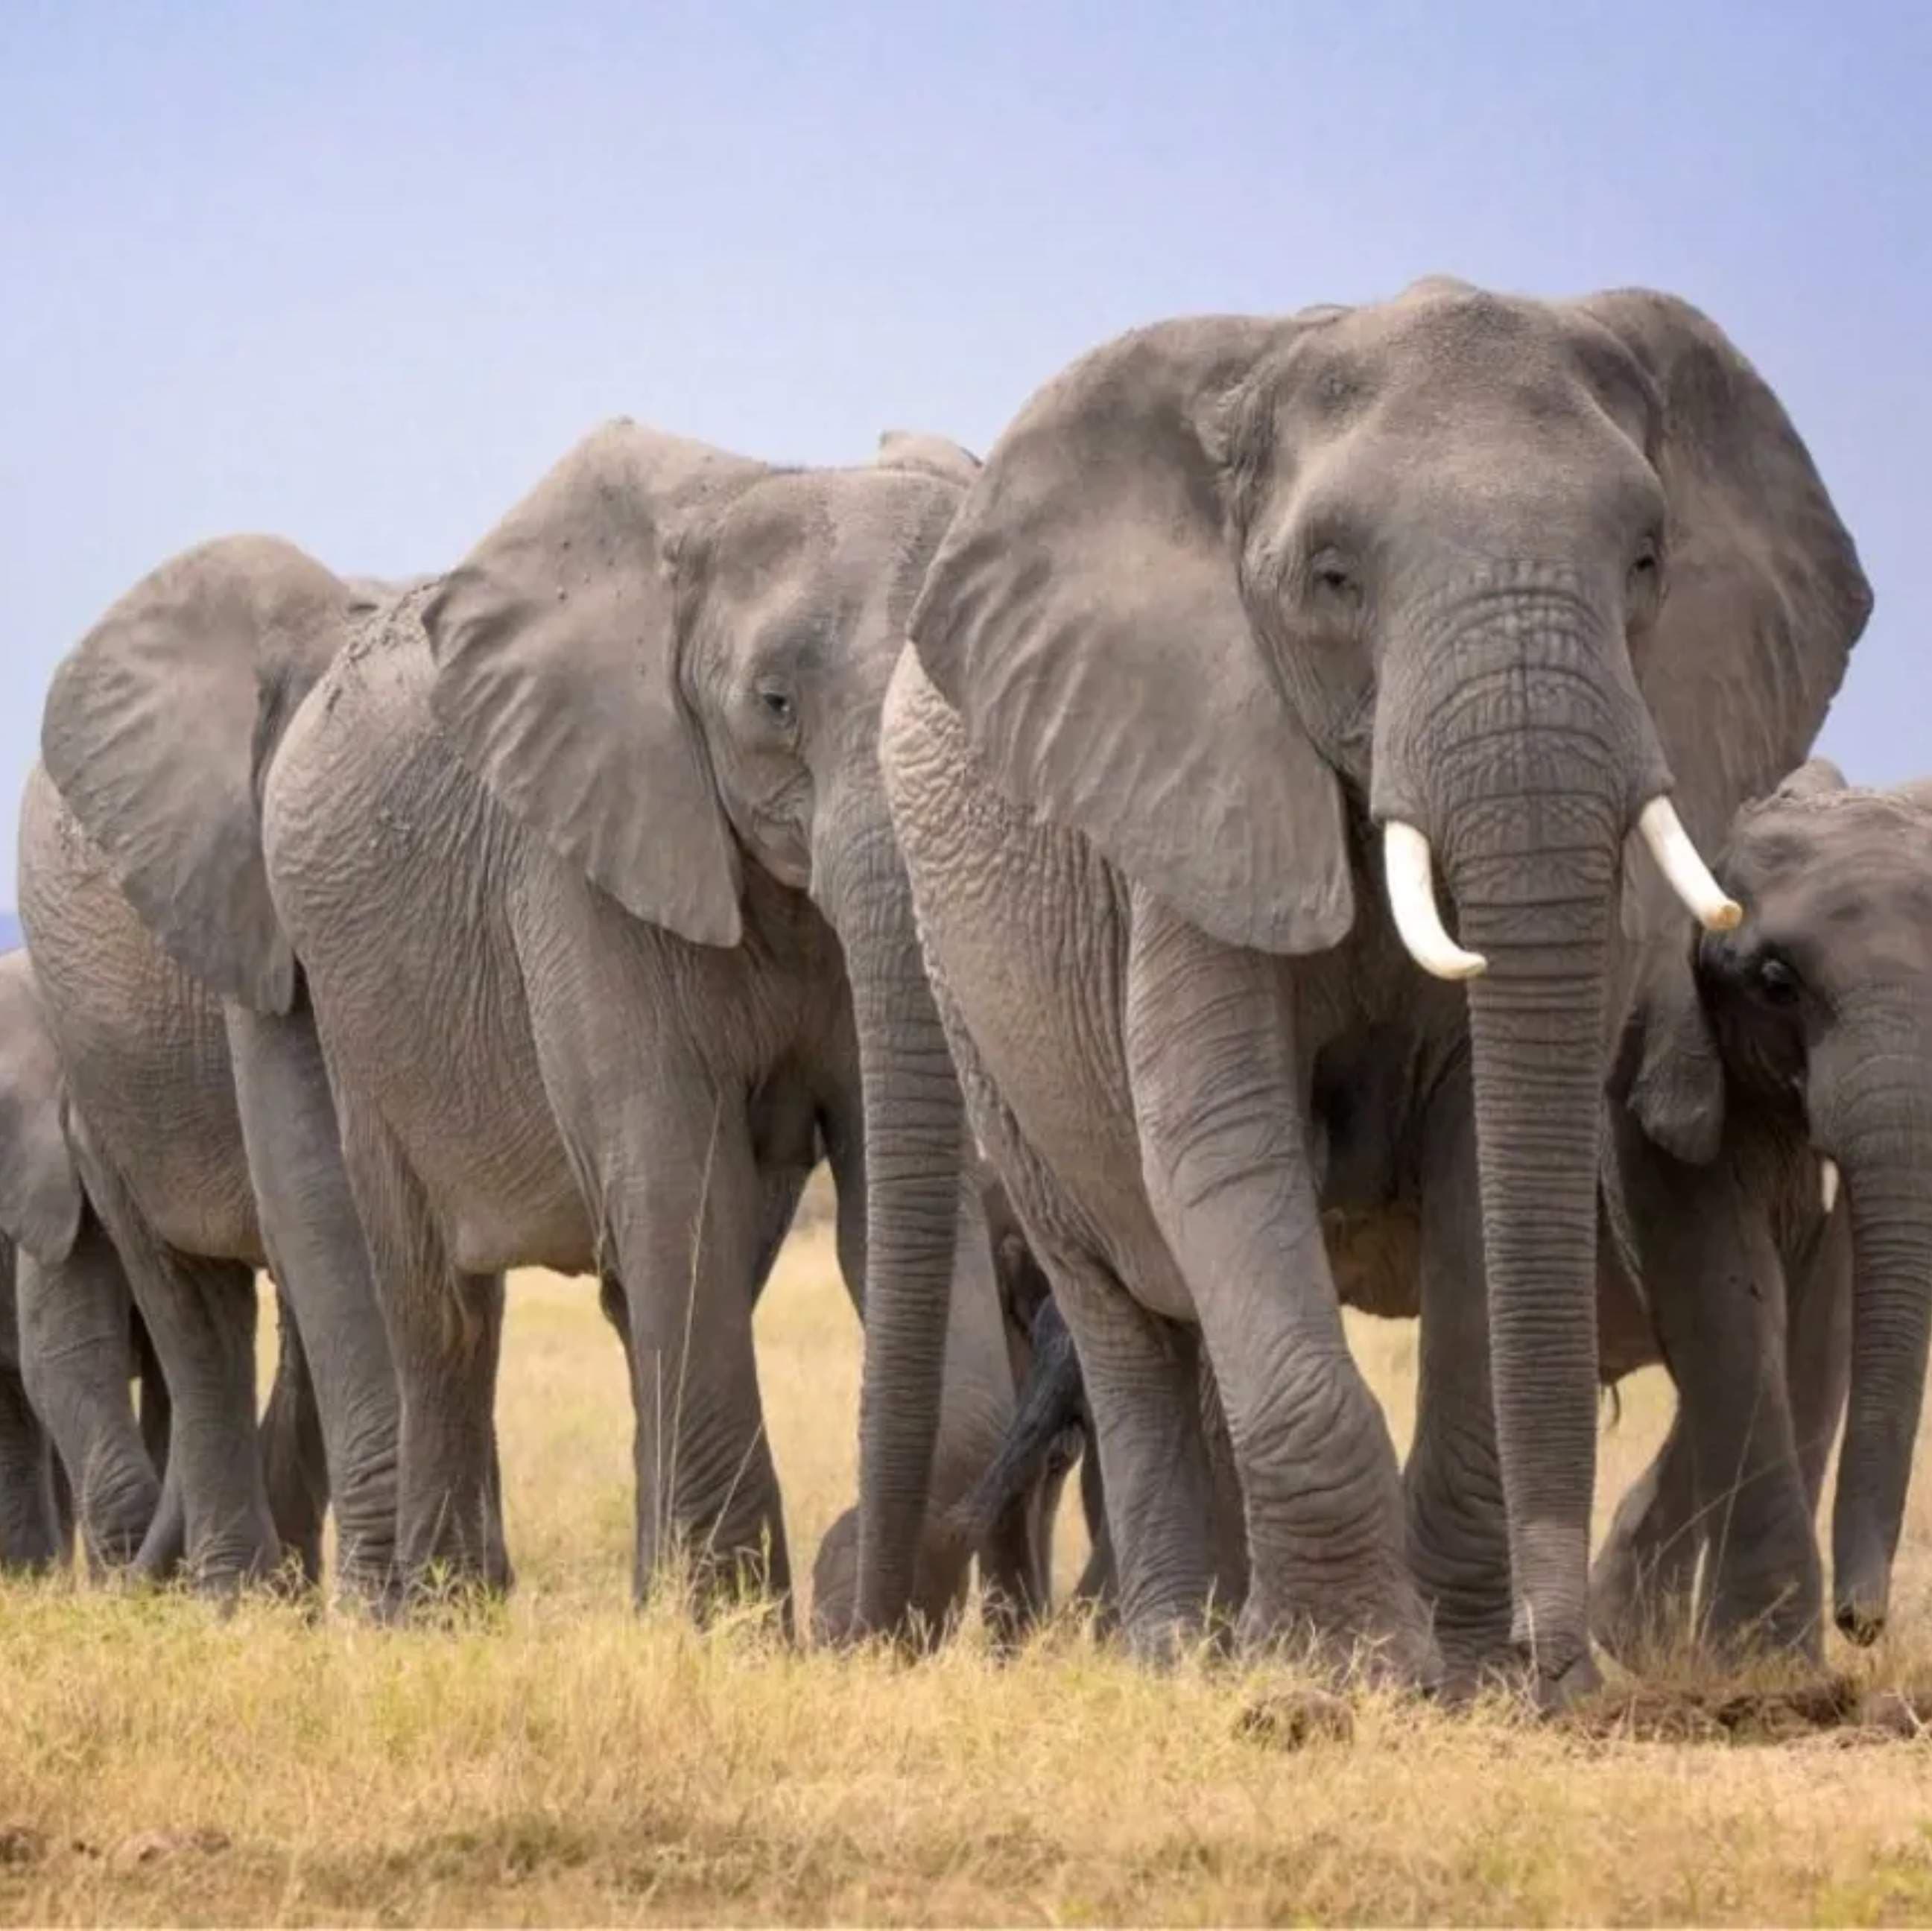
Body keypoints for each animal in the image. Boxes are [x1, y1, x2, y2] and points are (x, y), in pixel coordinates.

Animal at [78, 421, 1024, 1624]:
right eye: (774, 705)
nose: (852, 1599)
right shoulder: (580, 865)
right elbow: (671, 1184)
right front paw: (733, 1630)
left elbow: (891, 1188)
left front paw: (769, 1616)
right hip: (352, 1007)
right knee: (438, 1304)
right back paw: (432, 1618)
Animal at [874, 279, 1870, 1704]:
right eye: (1331, 579)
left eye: (1644, 561)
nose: (1563, 1670)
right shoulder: (1193, 782)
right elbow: (1224, 1142)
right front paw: (1335, 1681)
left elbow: (1479, 1166)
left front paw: (1464, 1680)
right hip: (976, 1010)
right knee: (1123, 1312)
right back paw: (1178, 1659)